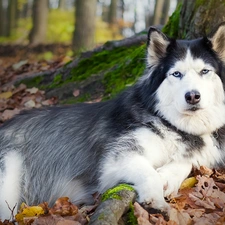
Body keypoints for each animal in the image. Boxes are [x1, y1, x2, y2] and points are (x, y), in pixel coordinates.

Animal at [0, 24, 225, 220]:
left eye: (205, 71)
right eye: (176, 74)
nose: (193, 96)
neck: (173, 124)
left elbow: (185, 163)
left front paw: (167, 177)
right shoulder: (116, 158)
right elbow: (148, 173)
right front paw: (157, 201)